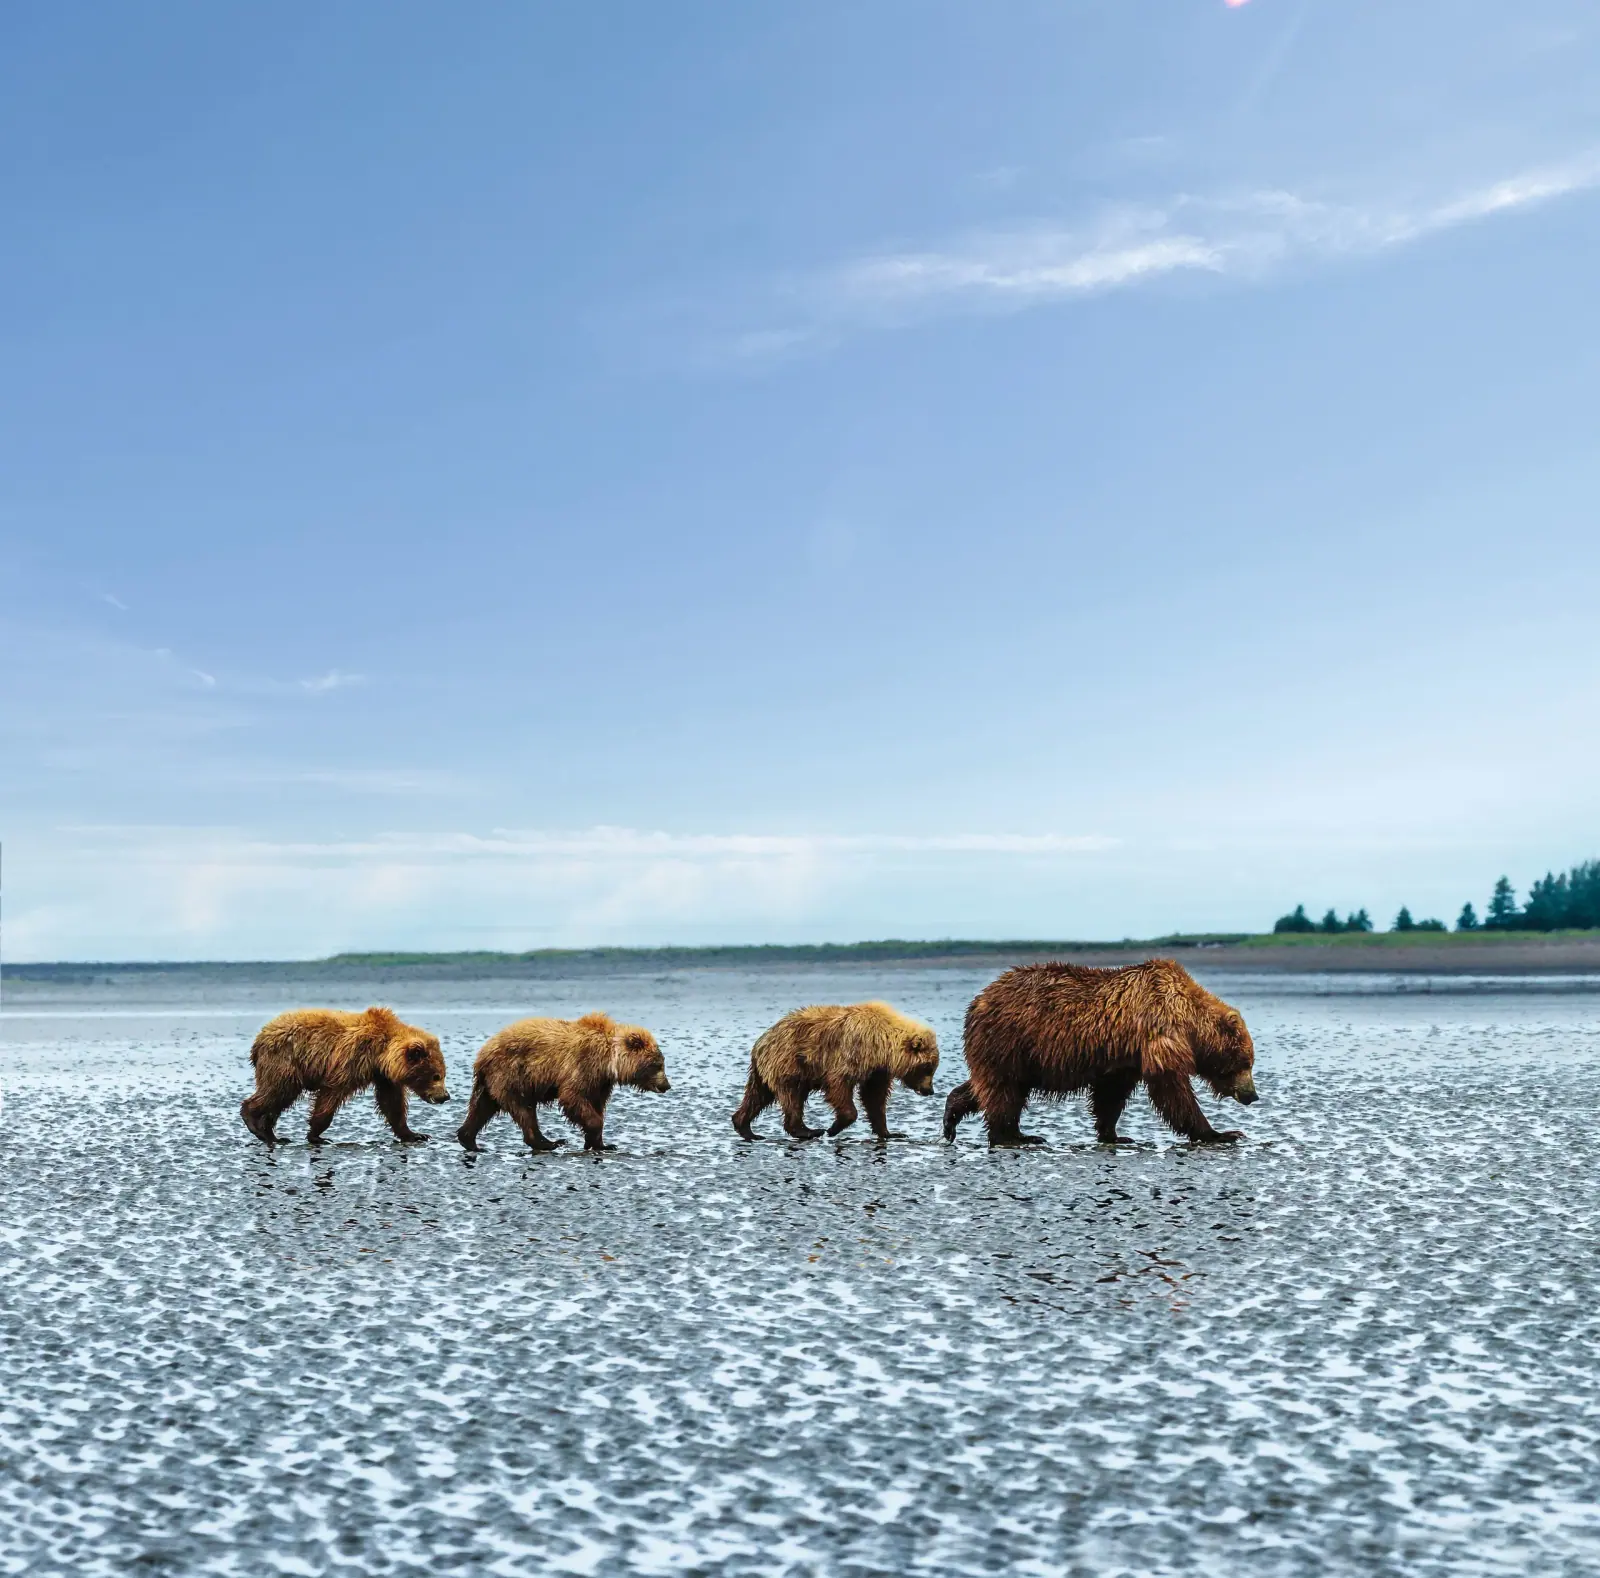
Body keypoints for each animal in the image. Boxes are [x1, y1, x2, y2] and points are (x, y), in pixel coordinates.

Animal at [239, 1006, 450, 1145]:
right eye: (436, 1076)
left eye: (443, 1074)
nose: (445, 1096)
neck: (380, 1052)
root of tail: (259, 1039)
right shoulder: (351, 1060)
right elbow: (330, 1095)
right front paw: (317, 1135)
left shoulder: (383, 1076)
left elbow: (392, 1103)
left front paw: (415, 1134)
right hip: (285, 1061)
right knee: (277, 1091)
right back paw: (255, 1123)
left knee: (279, 1099)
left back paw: (273, 1135)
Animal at [456, 1013, 670, 1153]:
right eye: (657, 1064)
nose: (666, 1085)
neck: (608, 1060)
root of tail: (482, 1054)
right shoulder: (581, 1066)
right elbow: (573, 1098)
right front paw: (593, 1136)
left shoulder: (600, 1082)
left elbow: (597, 1105)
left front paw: (603, 1144)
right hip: (513, 1074)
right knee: (524, 1110)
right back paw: (549, 1142)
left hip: (491, 1082)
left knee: (481, 1108)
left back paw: (470, 1140)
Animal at [731, 1000, 939, 1142]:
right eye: (927, 1067)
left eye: (933, 1067)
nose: (930, 1090)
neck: (881, 1045)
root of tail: (761, 1041)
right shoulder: (852, 1052)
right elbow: (839, 1085)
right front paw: (834, 1127)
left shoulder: (877, 1070)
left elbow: (874, 1097)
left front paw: (891, 1133)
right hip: (789, 1063)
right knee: (792, 1097)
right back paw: (809, 1131)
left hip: (765, 1071)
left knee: (758, 1095)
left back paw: (746, 1127)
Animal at [943, 959, 1257, 1147]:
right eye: (1246, 1062)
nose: (1252, 1095)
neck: (1190, 1023)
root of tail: (978, 1001)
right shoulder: (1159, 1034)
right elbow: (1172, 1088)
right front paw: (1221, 1133)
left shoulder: (1124, 1056)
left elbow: (1111, 1094)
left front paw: (1115, 1135)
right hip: (1010, 1039)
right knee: (1003, 1091)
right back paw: (1014, 1137)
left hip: (1012, 1052)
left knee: (992, 1087)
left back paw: (953, 1118)